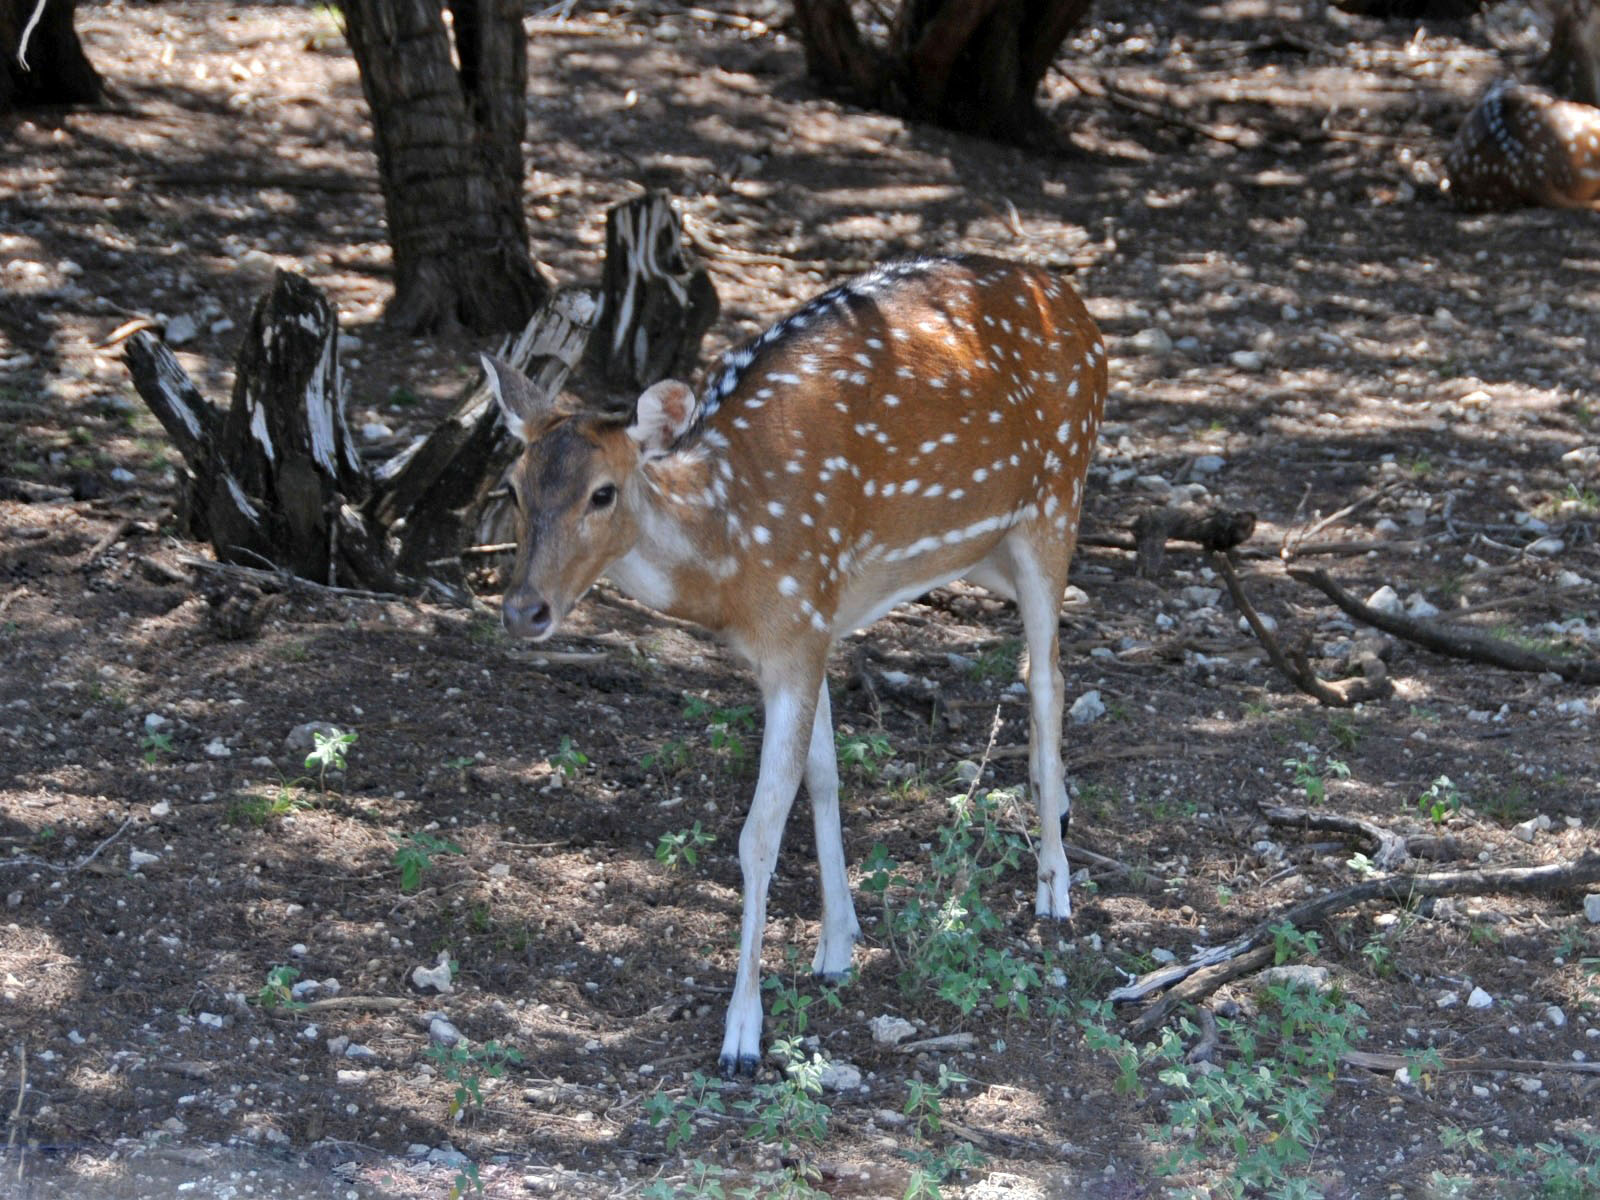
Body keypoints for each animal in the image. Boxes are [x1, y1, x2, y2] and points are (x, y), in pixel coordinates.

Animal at [481, 255, 1108, 1074]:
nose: (524, 610)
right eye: (513, 488)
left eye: (602, 493)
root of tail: (1080, 309)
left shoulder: (796, 619)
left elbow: (758, 831)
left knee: (1047, 684)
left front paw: (742, 1035)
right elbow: (823, 778)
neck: (731, 557)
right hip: (991, 551)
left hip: (1055, 505)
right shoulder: (808, 629)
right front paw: (836, 945)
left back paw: (1054, 889)